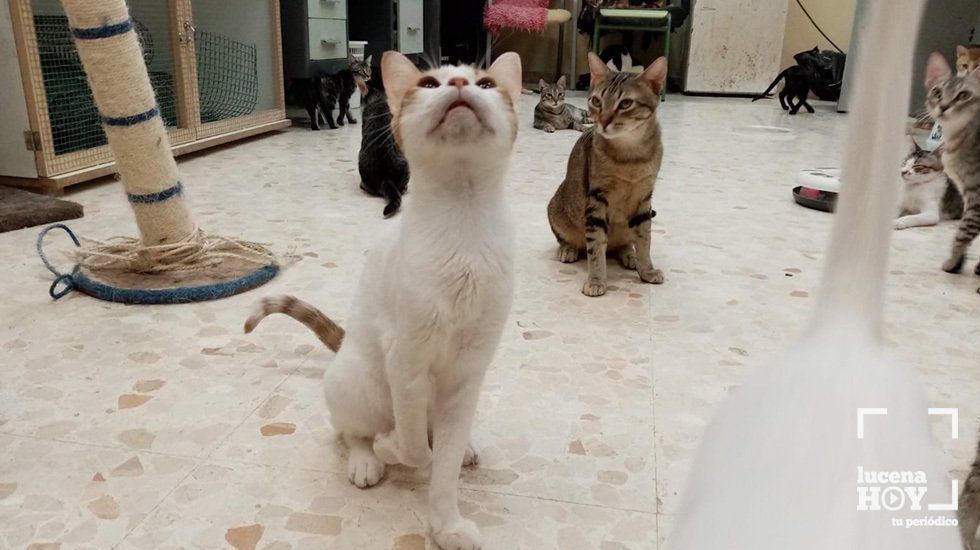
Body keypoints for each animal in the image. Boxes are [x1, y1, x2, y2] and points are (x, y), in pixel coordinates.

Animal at [548, 52, 668, 298]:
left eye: (625, 103)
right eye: (596, 101)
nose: (602, 121)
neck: (630, 155)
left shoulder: (644, 200)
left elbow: (645, 240)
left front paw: (646, 270)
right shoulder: (596, 201)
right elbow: (595, 249)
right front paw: (596, 280)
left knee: (622, 245)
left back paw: (629, 256)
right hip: (556, 210)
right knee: (571, 240)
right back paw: (568, 250)